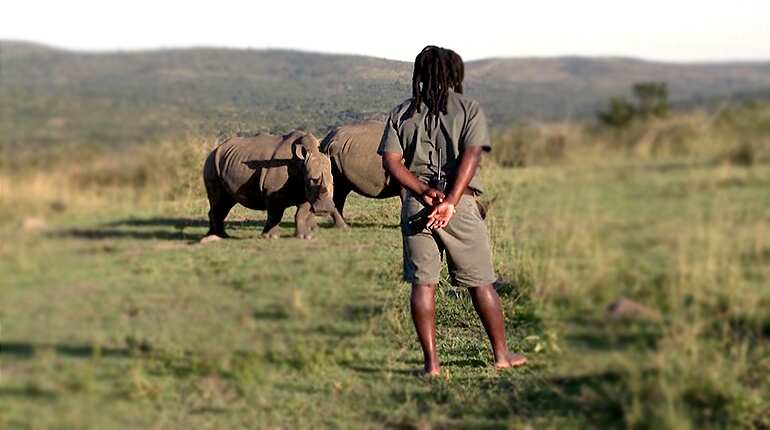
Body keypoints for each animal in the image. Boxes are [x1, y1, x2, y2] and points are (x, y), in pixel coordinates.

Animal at [202, 130, 341, 240]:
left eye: (333, 183)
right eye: (312, 180)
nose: (325, 209)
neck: (300, 163)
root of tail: (214, 150)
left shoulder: (305, 192)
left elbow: (302, 213)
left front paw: (305, 236)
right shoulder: (273, 191)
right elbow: (275, 214)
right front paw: (271, 237)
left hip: (225, 162)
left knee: (226, 202)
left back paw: (215, 235)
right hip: (212, 163)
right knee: (218, 201)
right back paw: (220, 236)